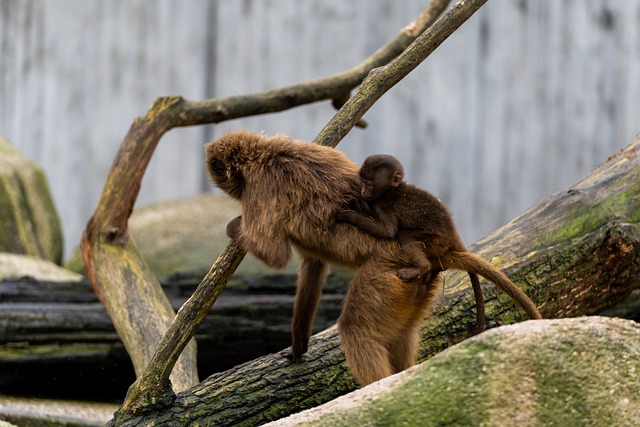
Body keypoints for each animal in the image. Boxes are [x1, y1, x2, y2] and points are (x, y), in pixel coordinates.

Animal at [338, 154, 544, 332]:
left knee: (406, 237)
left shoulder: (383, 205)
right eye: (363, 182)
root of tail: (453, 235)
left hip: (435, 240)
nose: (363, 191)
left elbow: (388, 232)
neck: (392, 191)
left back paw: (420, 268)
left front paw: (350, 215)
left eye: (369, 184)